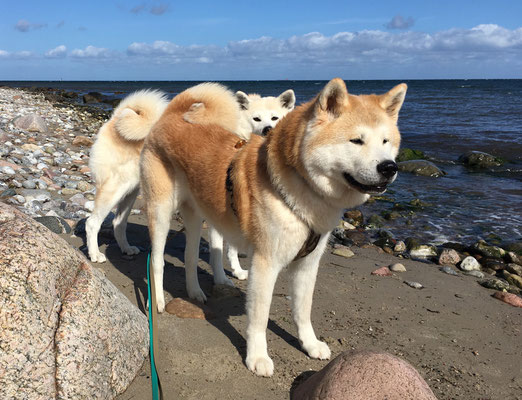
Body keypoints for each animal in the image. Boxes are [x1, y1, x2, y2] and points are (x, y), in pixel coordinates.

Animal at [139, 78, 406, 376]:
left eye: (385, 141)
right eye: (357, 140)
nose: (389, 167)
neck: (299, 194)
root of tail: (170, 115)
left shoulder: (307, 265)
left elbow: (303, 310)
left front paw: (310, 344)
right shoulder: (265, 264)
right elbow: (259, 318)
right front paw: (257, 357)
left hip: (197, 215)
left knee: (189, 255)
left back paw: (195, 291)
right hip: (161, 211)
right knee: (157, 260)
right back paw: (158, 301)